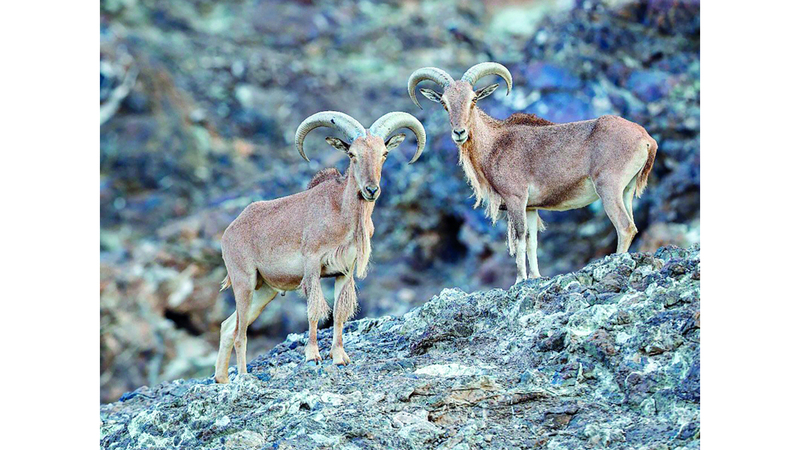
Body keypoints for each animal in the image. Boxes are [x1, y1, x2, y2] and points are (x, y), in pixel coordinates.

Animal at [212, 110, 424, 382]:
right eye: (352, 154)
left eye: (384, 153)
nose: (371, 190)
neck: (340, 213)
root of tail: (229, 232)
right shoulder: (312, 265)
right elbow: (314, 311)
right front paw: (313, 356)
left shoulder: (344, 271)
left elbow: (339, 313)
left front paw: (340, 357)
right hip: (244, 282)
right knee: (240, 333)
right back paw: (243, 376)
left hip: (264, 290)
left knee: (228, 326)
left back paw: (222, 379)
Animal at [410, 62, 660, 284]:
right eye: (444, 103)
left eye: (473, 99)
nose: (459, 133)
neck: (495, 144)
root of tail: (646, 139)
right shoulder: (531, 208)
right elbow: (532, 242)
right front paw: (536, 277)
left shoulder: (516, 199)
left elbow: (519, 239)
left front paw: (519, 280)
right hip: (626, 191)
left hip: (609, 188)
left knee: (625, 227)